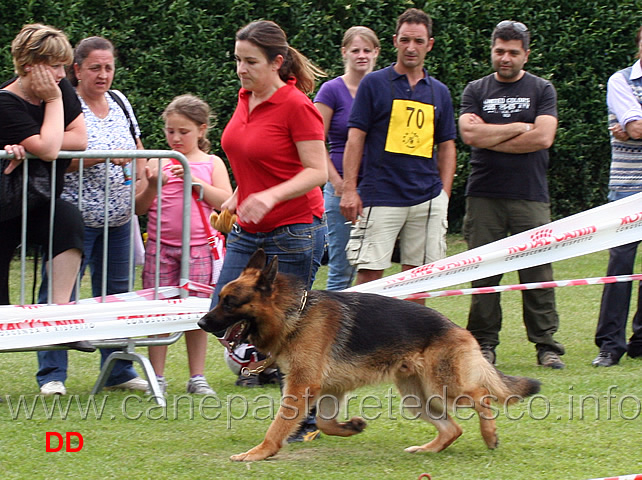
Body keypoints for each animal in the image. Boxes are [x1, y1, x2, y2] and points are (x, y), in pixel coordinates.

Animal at [198, 249, 536, 460]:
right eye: (220, 299)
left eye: (230, 303)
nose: (201, 323)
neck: (296, 314)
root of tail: (459, 330)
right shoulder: (329, 390)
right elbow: (324, 424)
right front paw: (352, 427)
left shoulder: (301, 387)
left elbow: (278, 426)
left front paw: (258, 453)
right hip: (417, 398)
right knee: (453, 428)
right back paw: (427, 450)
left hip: (447, 387)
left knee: (483, 397)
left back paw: (490, 435)